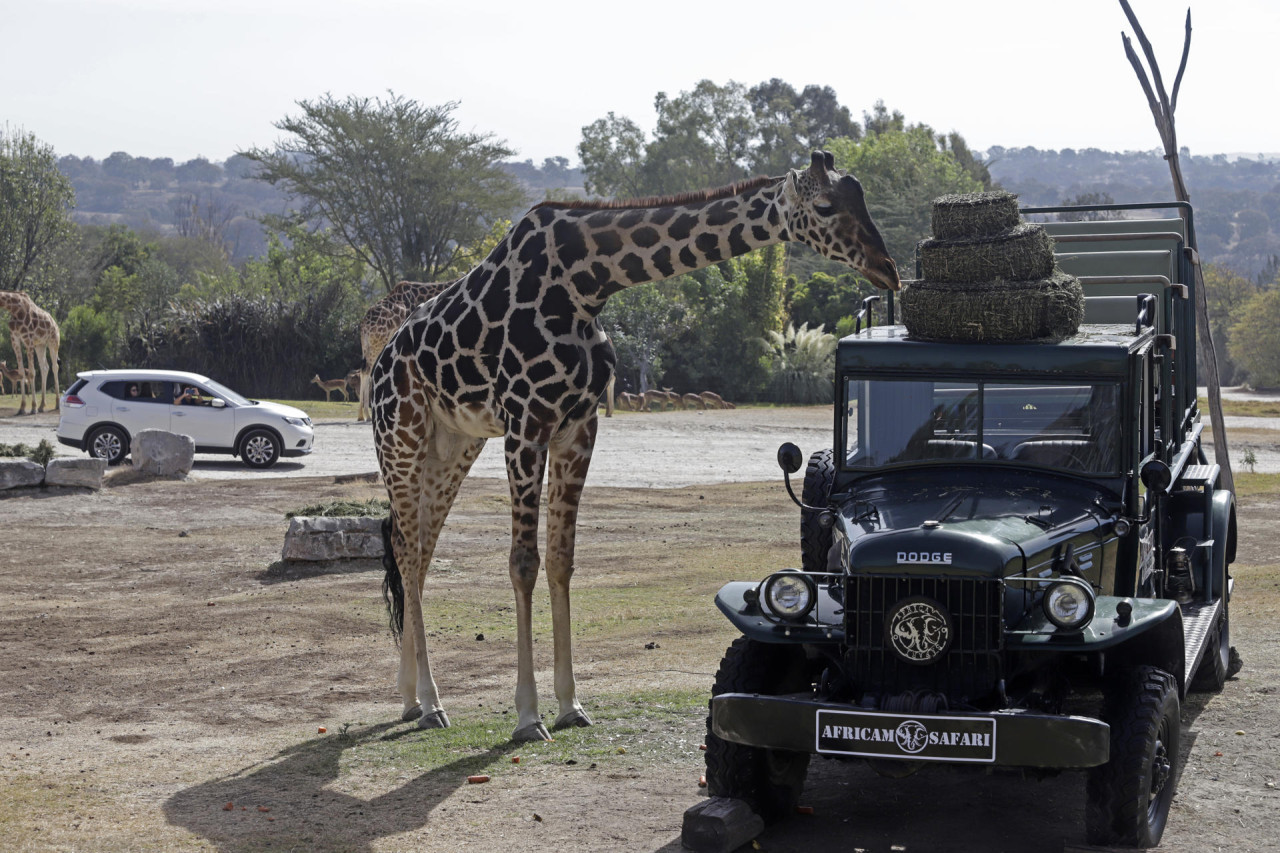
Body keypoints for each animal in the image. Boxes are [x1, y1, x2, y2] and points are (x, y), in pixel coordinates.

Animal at [358, 279, 453, 422]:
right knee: (367, 371)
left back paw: (362, 415)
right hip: (377, 344)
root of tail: (364, 325)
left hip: (368, 347)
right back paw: (366, 415)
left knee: (364, 371)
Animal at [371, 151, 901, 737]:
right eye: (826, 206)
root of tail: (379, 363)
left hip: (453, 444)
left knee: (418, 550)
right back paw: (430, 702)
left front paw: (570, 704)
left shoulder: (578, 426)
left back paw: (410, 698)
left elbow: (562, 560)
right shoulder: (527, 421)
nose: (889, 269)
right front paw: (528, 716)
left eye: (861, 197)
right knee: (406, 548)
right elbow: (523, 563)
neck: (587, 284)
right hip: (401, 436)